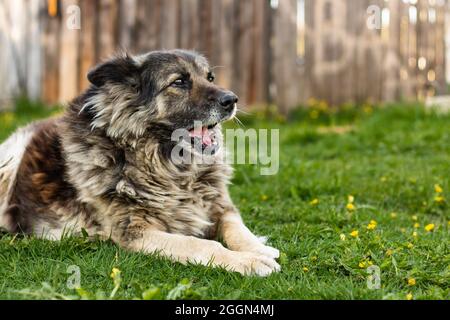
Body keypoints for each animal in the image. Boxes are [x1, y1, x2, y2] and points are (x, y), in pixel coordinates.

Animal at [0, 49, 280, 276]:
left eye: (210, 78)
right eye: (179, 81)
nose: (232, 100)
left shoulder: (220, 206)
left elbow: (236, 228)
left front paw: (259, 248)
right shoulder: (135, 232)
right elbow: (201, 244)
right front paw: (248, 262)